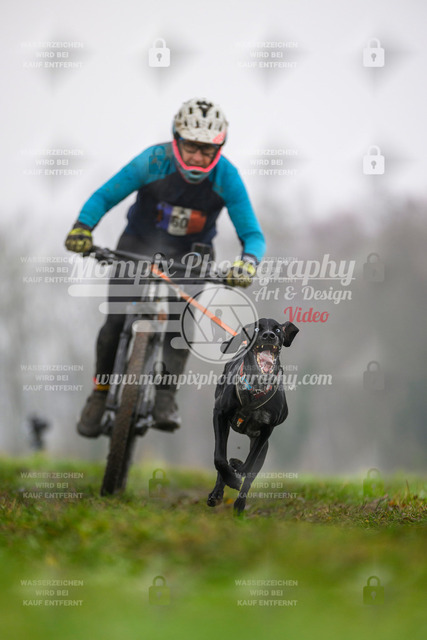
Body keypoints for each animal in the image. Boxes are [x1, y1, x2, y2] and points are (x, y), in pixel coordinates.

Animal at [207, 318, 299, 514]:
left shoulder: (266, 430)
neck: (256, 386)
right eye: (256, 328)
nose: (269, 336)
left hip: (263, 450)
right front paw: (231, 479)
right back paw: (217, 493)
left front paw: (238, 470)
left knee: (250, 475)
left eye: (278, 329)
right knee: (222, 461)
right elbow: (219, 458)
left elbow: (249, 464)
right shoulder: (219, 414)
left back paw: (239, 504)